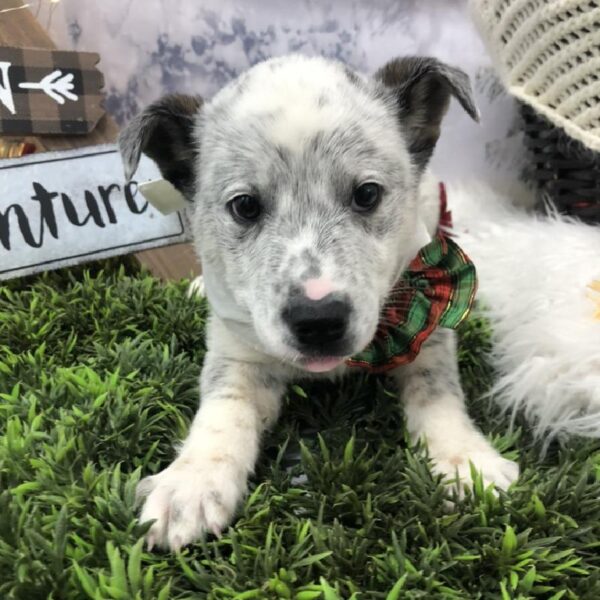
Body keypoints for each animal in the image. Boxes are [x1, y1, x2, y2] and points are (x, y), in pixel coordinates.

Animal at [119, 54, 516, 552]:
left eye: (367, 194)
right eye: (244, 206)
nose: (319, 321)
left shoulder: (429, 330)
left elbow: (438, 393)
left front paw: (466, 461)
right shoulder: (239, 353)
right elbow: (222, 411)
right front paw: (190, 483)